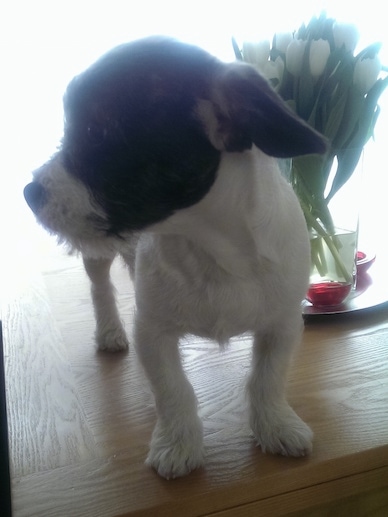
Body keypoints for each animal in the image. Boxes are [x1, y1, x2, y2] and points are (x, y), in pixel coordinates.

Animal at [23, 36, 328, 480]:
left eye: (95, 133)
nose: (29, 192)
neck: (210, 247)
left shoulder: (282, 324)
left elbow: (268, 378)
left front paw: (275, 424)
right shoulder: (153, 331)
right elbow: (173, 390)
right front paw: (178, 443)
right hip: (98, 251)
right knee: (100, 287)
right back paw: (108, 330)